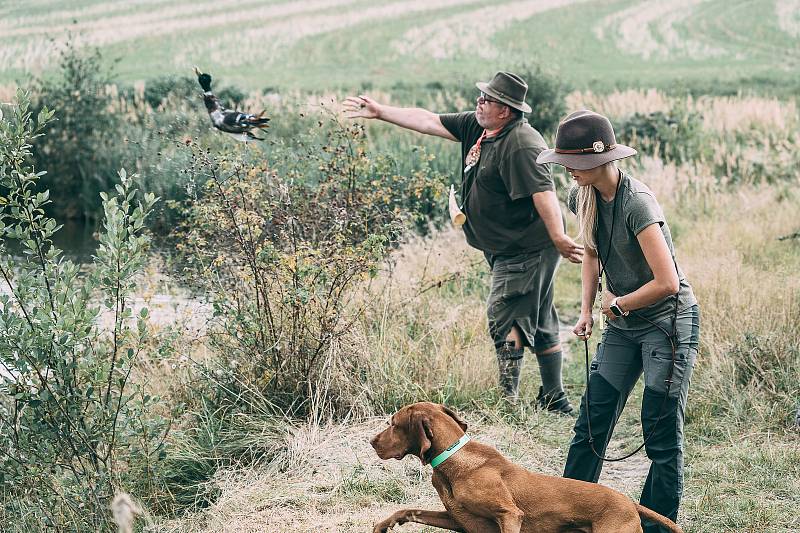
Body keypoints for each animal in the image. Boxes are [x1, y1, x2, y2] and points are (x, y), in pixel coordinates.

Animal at [372, 404, 684, 532]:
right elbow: (409, 510)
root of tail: (629, 502)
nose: (372, 441)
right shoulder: (458, 520)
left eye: (393, 424)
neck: (452, 460)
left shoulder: (510, 516)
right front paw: (384, 524)